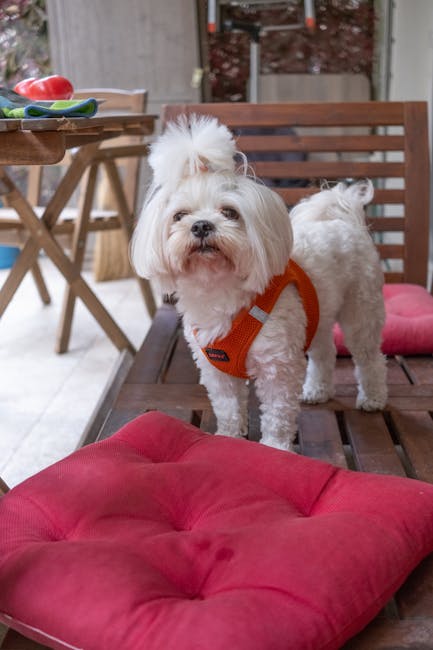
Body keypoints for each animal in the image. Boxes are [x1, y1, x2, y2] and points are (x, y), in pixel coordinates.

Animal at [131, 115, 387, 451]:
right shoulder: (216, 370)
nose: (201, 225)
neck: (219, 292)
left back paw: (373, 397)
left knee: (368, 356)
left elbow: (277, 412)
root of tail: (343, 219)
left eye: (229, 212)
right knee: (324, 352)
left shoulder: (278, 365)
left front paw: (276, 448)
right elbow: (228, 407)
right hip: (317, 315)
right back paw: (317, 391)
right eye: (179, 215)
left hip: (361, 309)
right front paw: (228, 437)